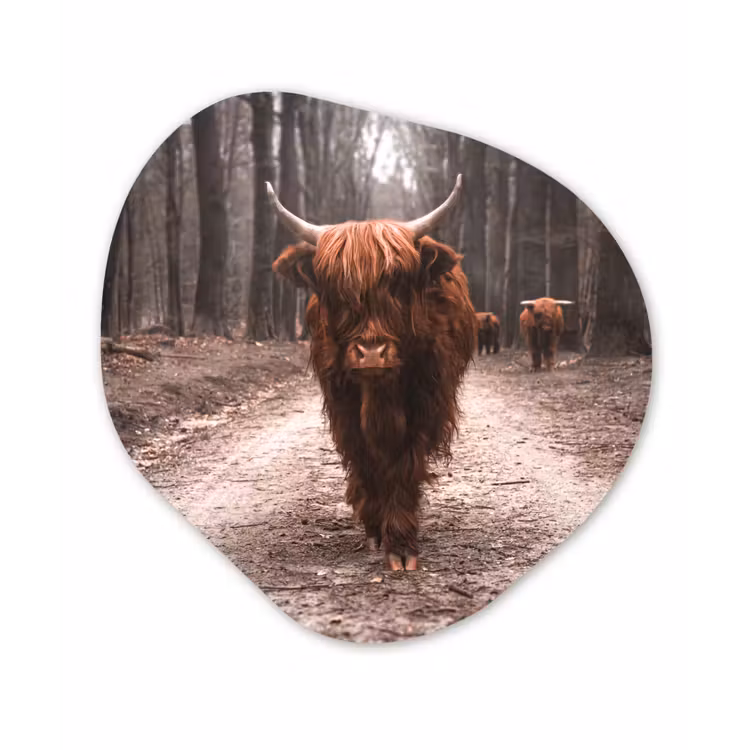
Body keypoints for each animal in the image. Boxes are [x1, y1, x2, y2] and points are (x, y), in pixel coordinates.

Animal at [268, 175, 477, 571]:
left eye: (396, 282)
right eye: (335, 287)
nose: (371, 354)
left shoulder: (424, 404)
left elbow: (404, 464)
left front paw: (401, 543)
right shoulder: (343, 406)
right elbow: (365, 459)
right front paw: (375, 527)